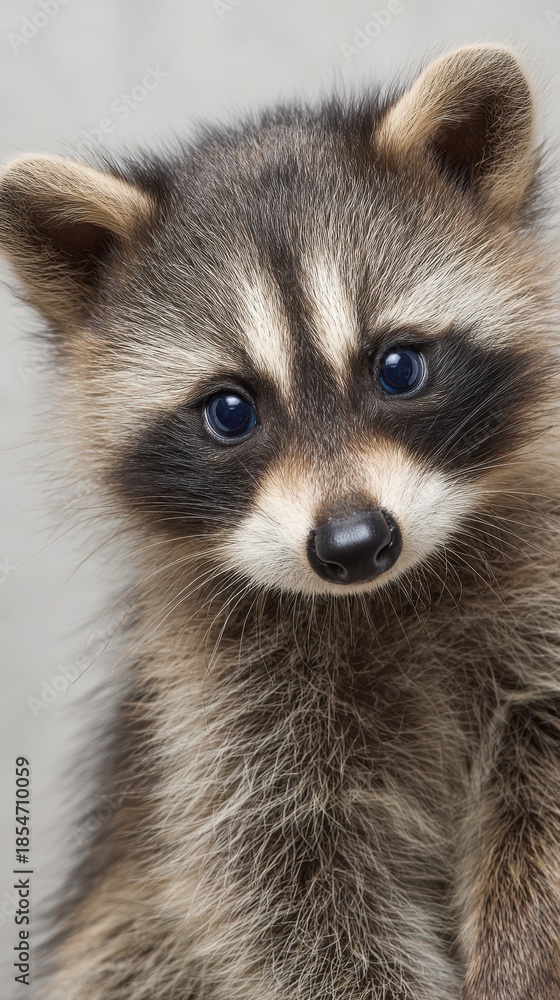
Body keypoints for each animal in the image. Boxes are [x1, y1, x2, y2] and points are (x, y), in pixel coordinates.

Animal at [2, 42, 560, 1000]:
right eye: (230, 412)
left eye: (399, 367)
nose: (354, 544)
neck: (378, 597)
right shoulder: (220, 716)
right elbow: (291, 895)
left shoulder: (538, 597)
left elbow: (544, 776)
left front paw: (522, 955)